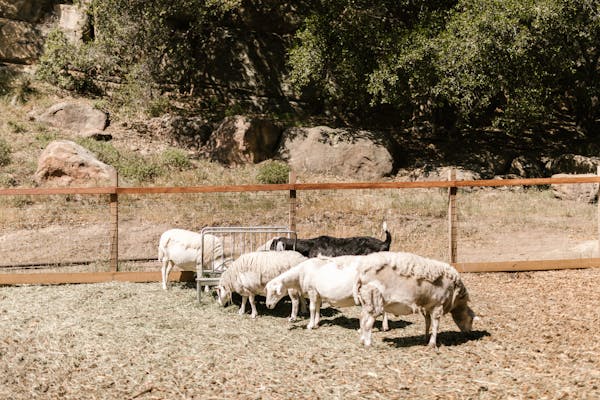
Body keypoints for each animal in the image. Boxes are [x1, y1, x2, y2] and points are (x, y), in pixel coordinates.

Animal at [264, 256, 392, 332]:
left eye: (274, 292)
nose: (268, 306)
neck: (300, 274)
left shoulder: (312, 291)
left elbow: (311, 308)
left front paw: (310, 325)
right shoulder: (318, 294)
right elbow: (317, 309)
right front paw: (316, 323)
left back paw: (364, 329)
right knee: (382, 308)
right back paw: (385, 327)